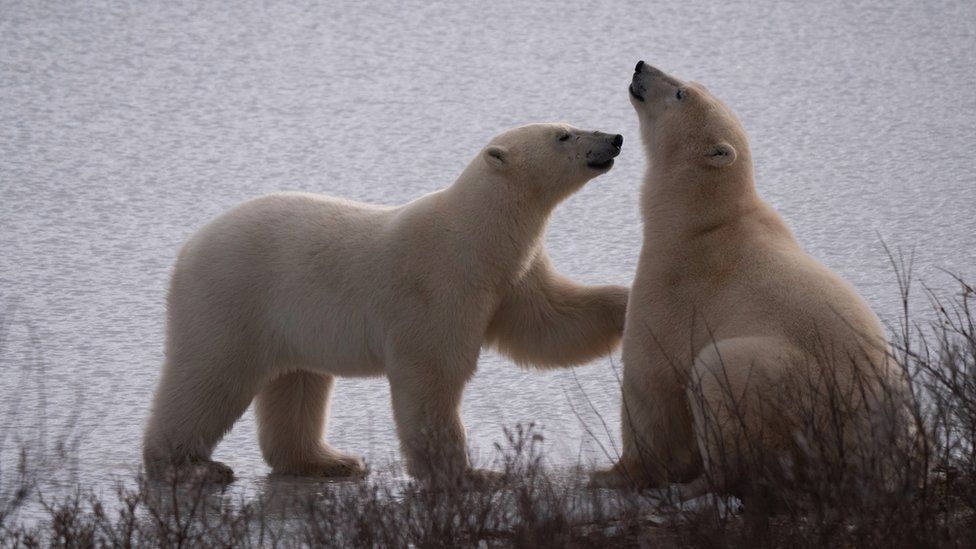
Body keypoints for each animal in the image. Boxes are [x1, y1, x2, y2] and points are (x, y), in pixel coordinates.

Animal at [146, 123, 632, 484]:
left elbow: (549, 325)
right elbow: (432, 373)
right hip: (233, 296)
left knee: (297, 382)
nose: (614, 138)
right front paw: (470, 475)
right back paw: (187, 467)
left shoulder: (511, 277)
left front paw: (626, 303)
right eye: (563, 134)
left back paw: (329, 461)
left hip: (290, 318)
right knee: (210, 376)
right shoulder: (438, 282)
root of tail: (188, 248)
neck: (474, 237)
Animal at [592, 63, 920, 496]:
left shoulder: (677, 277)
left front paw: (611, 474)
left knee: (718, 376)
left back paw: (698, 485)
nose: (641, 66)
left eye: (681, 93)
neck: (701, 219)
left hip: (784, 383)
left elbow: (651, 379)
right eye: (692, 83)